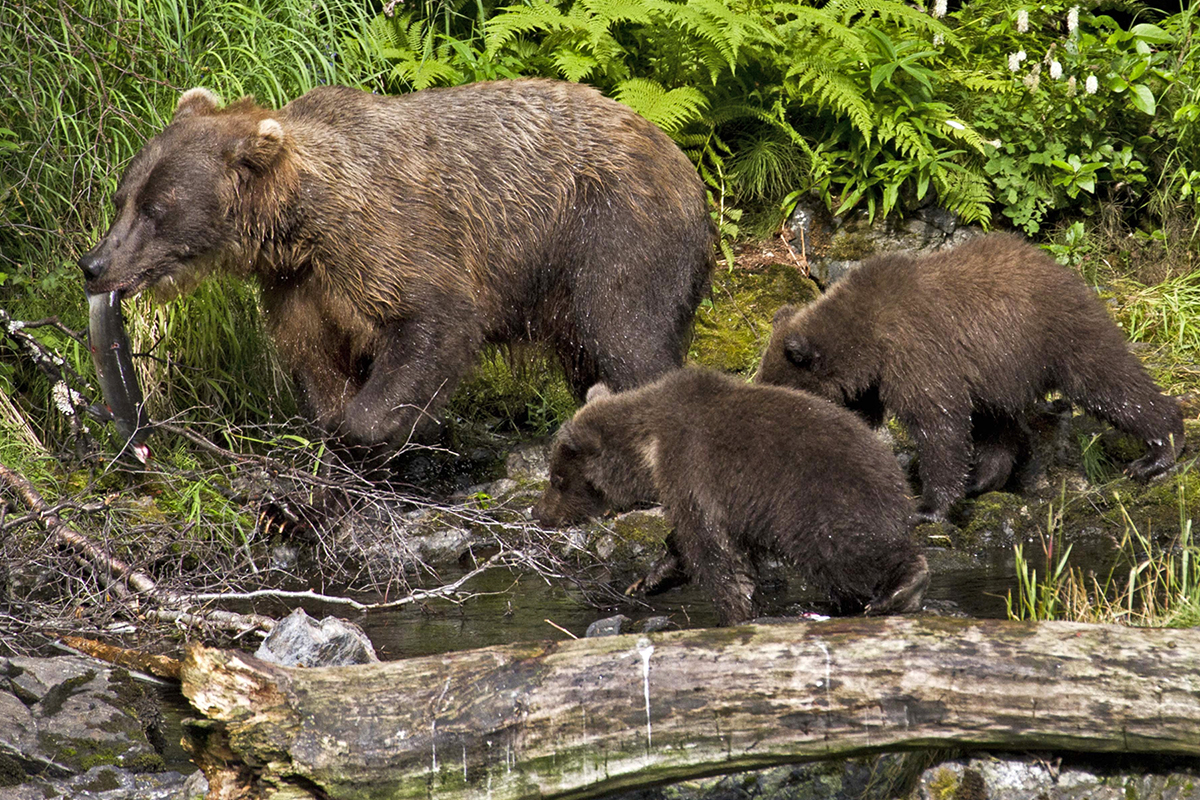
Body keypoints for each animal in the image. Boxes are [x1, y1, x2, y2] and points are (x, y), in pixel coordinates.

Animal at [78, 79, 715, 450]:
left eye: (158, 209)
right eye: (122, 197)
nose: (94, 263)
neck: (299, 226)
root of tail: (687, 167)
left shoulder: (389, 239)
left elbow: (434, 321)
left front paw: (391, 425)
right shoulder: (298, 285)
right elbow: (315, 359)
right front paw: (335, 426)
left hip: (609, 231)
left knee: (627, 335)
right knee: (589, 354)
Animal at [532, 368, 929, 625]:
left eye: (556, 478)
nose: (539, 512)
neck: (649, 448)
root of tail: (898, 477)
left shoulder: (693, 468)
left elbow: (713, 550)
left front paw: (734, 611)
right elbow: (690, 543)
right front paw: (651, 579)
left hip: (822, 505)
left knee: (848, 553)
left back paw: (902, 587)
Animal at [756, 232, 1185, 523]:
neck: (866, 342)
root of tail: (1060, 266)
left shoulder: (917, 352)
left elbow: (939, 423)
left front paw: (927, 506)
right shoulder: (871, 385)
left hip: (1057, 334)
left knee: (1108, 382)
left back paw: (1157, 452)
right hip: (999, 369)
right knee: (1000, 423)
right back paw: (982, 478)